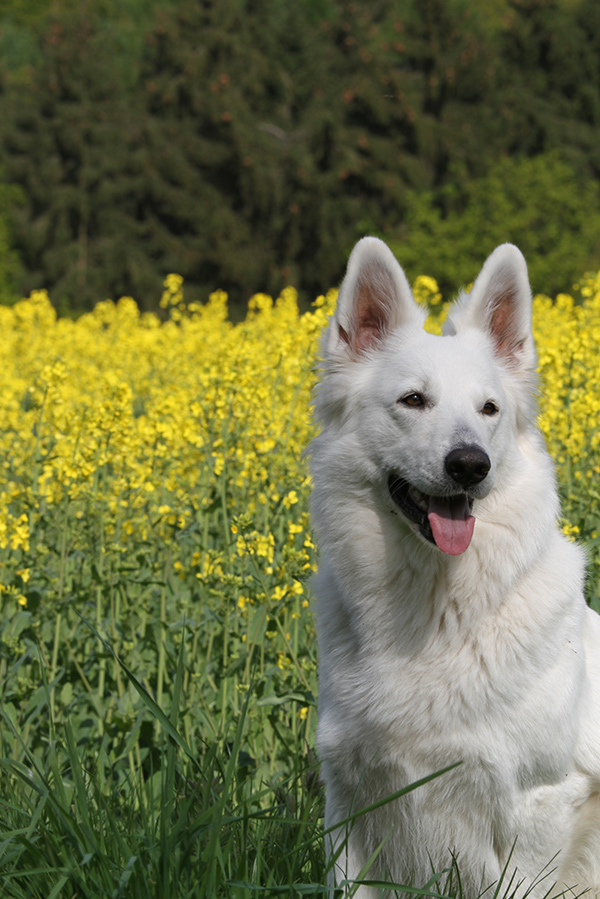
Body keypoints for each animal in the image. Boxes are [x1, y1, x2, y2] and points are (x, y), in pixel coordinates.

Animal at [310, 237, 600, 898]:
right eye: (414, 400)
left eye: (489, 409)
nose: (470, 464)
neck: (434, 610)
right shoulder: (349, 797)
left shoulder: (541, 799)